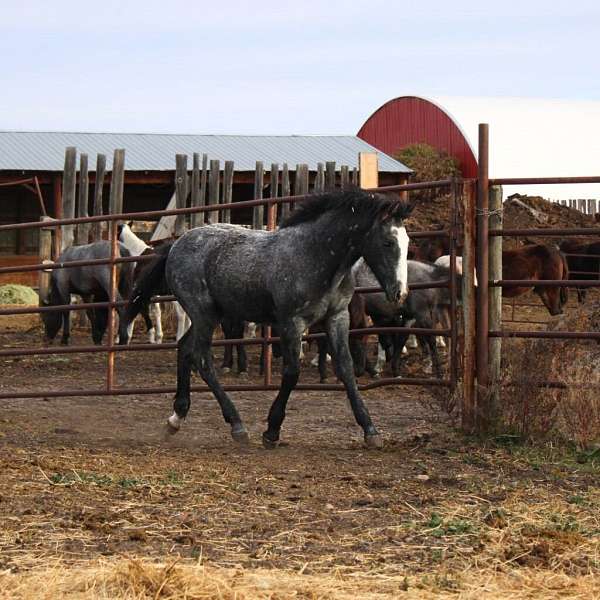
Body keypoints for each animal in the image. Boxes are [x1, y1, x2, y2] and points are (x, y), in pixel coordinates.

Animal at [124, 190, 410, 448]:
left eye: (407, 243)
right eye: (388, 242)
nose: (400, 292)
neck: (315, 256)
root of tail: (175, 245)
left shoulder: (337, 318)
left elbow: (347, 369)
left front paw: (370, 430)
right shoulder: (291, 322)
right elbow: (292, 372)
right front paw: (272, 431)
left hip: (211, 314)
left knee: (184, 348)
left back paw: (176, 418)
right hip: (203, 312)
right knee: (201, 358)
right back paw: (237, 425)